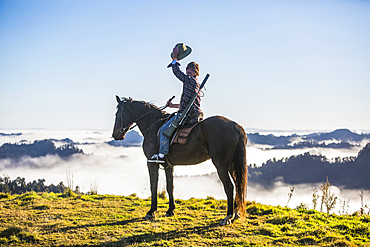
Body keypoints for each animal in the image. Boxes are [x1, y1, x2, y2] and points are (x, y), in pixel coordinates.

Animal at [111, 96, 247, 226]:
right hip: (232, 165)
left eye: (117, 114)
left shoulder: (151, 163)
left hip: (221, 166)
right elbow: (170, 186)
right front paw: (170, 210)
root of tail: (236, 127)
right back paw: (236, 214)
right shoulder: (168, 165)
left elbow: (153, 186)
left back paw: (227, 217)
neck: (153, 124)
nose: (115, 135)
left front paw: (151, 212)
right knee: (238, 185)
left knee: (229, 187)